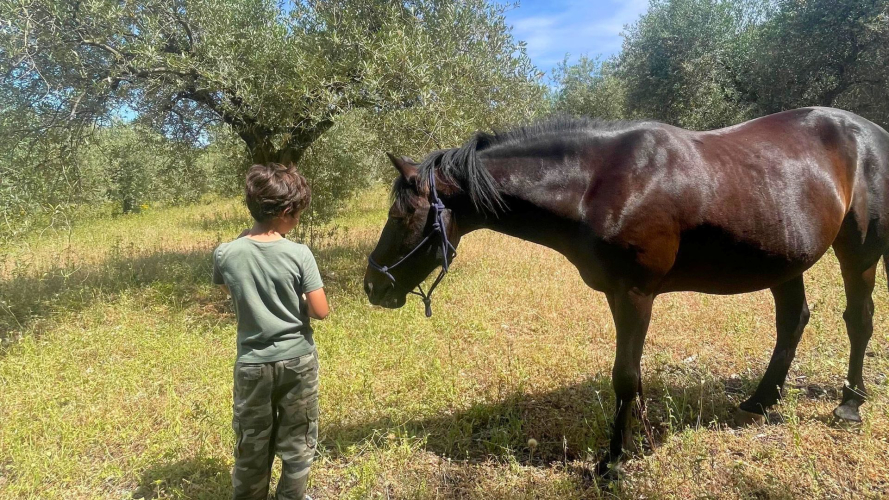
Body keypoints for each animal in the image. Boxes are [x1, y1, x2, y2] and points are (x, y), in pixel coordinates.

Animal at [363, 107, 889, 472]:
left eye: (402, 215)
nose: (372, 285)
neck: (600, 182)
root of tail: (873, 132)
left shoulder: (634, 295)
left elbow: (625, 378)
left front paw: (614, 460)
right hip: (785, 261)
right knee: (792, 322)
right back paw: (761, 401)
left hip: (859, 252)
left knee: (858, 320)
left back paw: (850, 404)